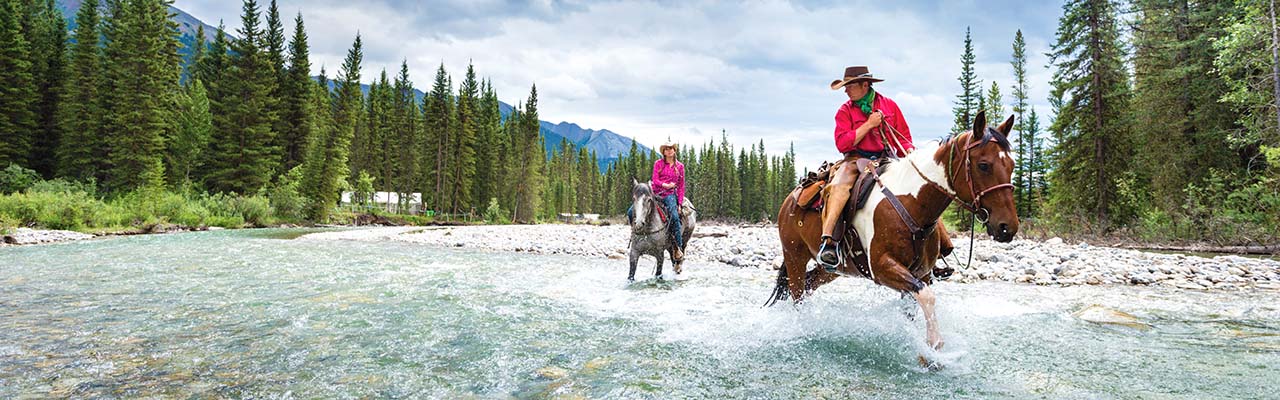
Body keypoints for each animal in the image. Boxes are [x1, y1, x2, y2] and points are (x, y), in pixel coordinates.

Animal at [768, 110, 1018, 353]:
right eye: (983, 165)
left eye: (1012, 165)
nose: (1008, 227)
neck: (910, 203)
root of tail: (791, 199)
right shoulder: (882, 268)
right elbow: (927, 297)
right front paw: (934, 345)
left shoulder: (920, 274)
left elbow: (914, 305)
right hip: (794, 257)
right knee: (797, 294)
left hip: (831, 269)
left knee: (809, 285)